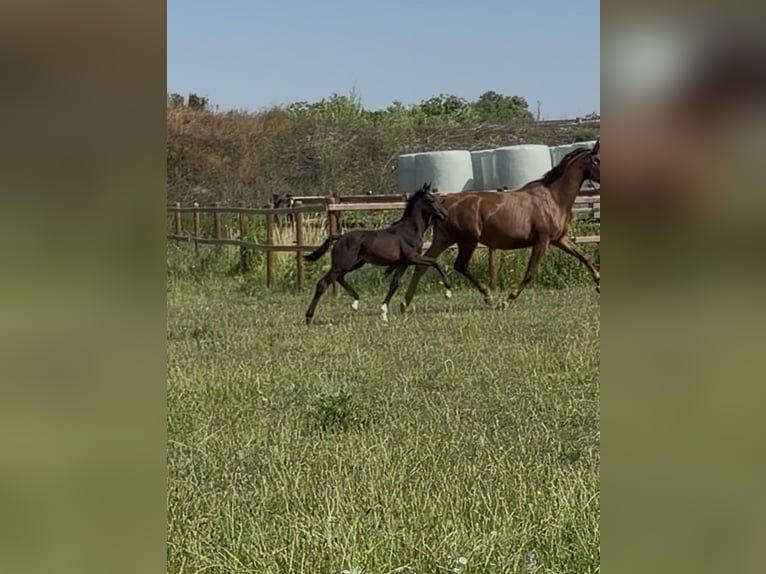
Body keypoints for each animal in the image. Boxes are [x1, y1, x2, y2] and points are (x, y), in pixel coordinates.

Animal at [304, 182, 452, 325]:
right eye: (430, 200)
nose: (445, 215)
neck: (410, 230)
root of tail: (339, 237)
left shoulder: (403, 263)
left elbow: (394, 284)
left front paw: (383, 313)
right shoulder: (413, 258)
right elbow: (435, 262)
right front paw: (448, 292)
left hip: (355, 264)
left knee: (339, 278)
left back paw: (355, 302)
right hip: (342, 264)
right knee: (323, 283)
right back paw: (308, 317)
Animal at [400, 141, 601, 313]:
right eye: (597, 160)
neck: (553, 197)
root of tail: (445, 203)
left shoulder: (559, 239)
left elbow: (583, 256)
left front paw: (599, 284)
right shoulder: (542, 241)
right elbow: (530, 273)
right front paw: (506, 301)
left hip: (443, 239)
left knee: (423, 265)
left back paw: (405, 303)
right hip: (468, 241)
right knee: (460, 265)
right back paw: (488, 297)